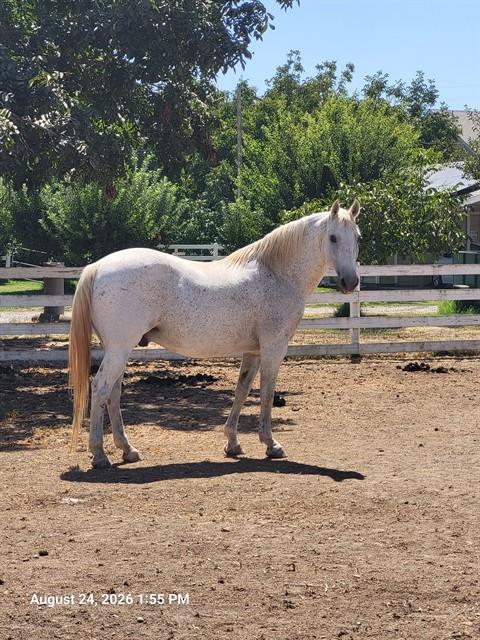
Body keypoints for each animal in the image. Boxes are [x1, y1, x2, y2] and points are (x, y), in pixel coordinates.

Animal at [69, 200, 361, 468]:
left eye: (357, 237)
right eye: (333, 237)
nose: (350, 282)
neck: (275, 274)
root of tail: (97, 267)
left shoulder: (253, 351)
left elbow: (242, 390)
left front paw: (232, 442)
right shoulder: (274, 347)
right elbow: (267, 393)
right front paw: (271, 444)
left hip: (119, 351)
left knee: (114, 392)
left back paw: (127, 450)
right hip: (119, 350)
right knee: (101, 388)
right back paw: (99, 454)